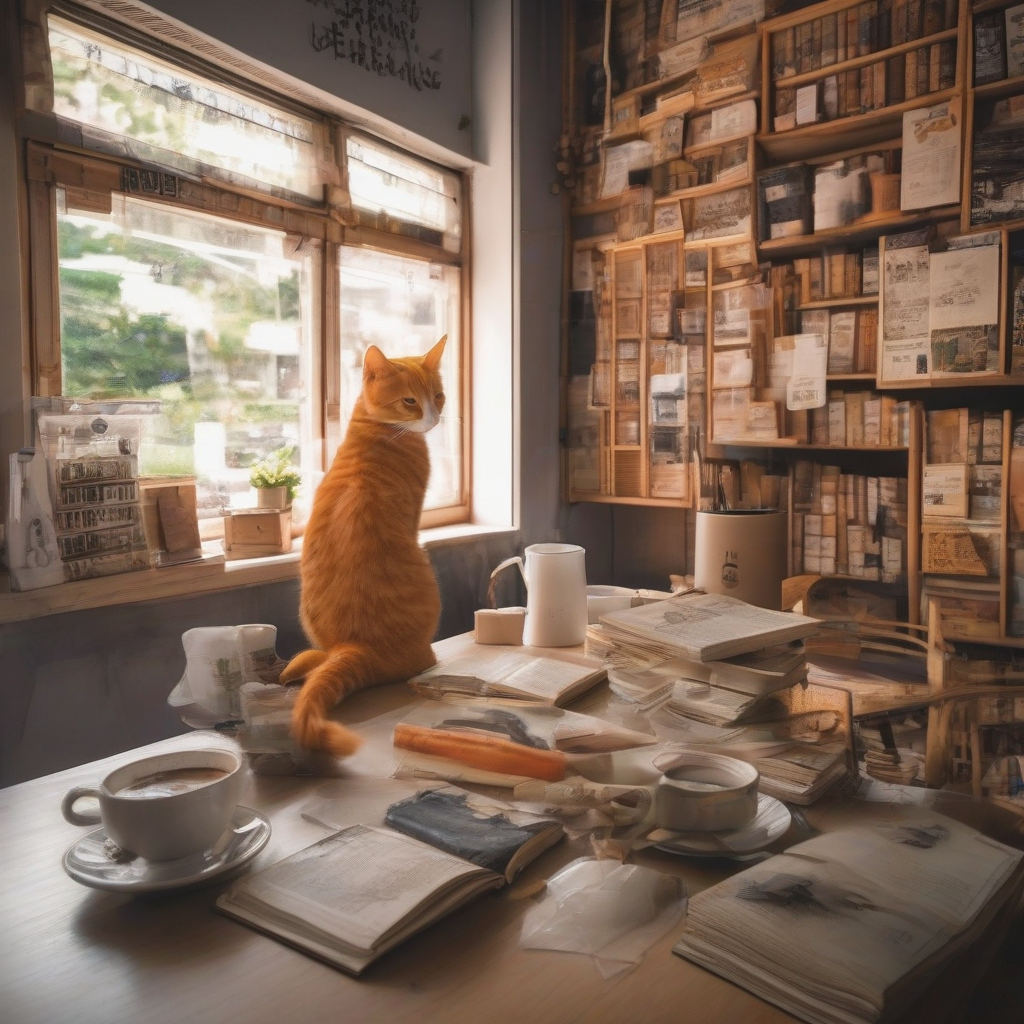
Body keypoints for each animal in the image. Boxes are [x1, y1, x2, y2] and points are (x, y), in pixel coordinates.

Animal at [280, 335, 444, 753]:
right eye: (410, 401)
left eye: (438, 396)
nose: (433, 418)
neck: (374, 429)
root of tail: (357, 647)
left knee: (315, 659)